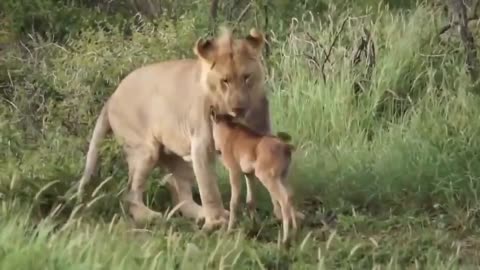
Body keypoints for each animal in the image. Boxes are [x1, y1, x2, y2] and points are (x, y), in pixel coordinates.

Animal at [210, 106, 300, 244]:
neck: (228, 133)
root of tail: (286, 147)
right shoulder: (249, 174)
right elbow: (250, 200)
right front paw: (255, 227)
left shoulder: (235, 171)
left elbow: (234, 202)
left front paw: (230, 230)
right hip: (283, 177)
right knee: (291, 196)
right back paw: (294, 231)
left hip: (268, 177)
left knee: (284, 199)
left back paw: (285, 239)